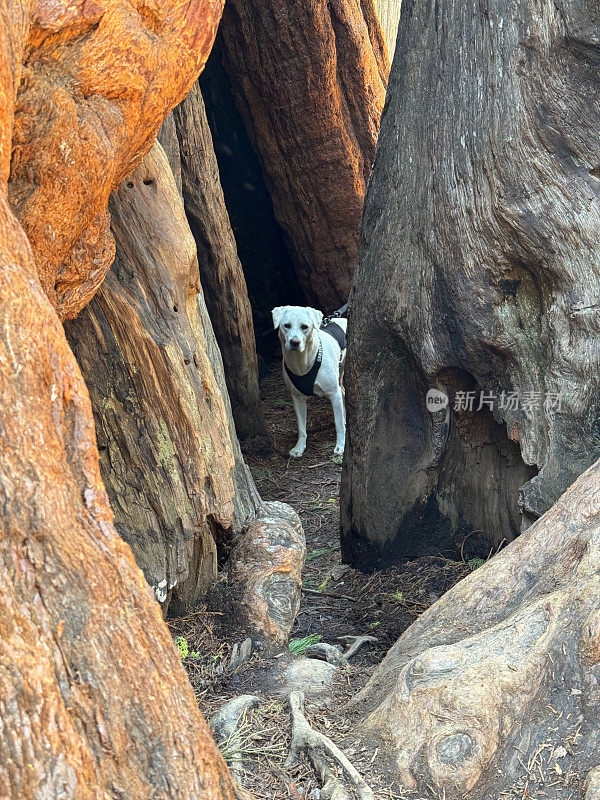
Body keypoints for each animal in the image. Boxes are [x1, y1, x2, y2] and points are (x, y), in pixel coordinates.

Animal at [272, 304, 346, 460]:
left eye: (304, 327)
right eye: (286, 325)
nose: (294, 342)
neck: (302, 362)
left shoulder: (333, 393)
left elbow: (338, 424)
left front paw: (340, 446)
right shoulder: (297, 398)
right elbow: (301, 428)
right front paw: (299, 448)